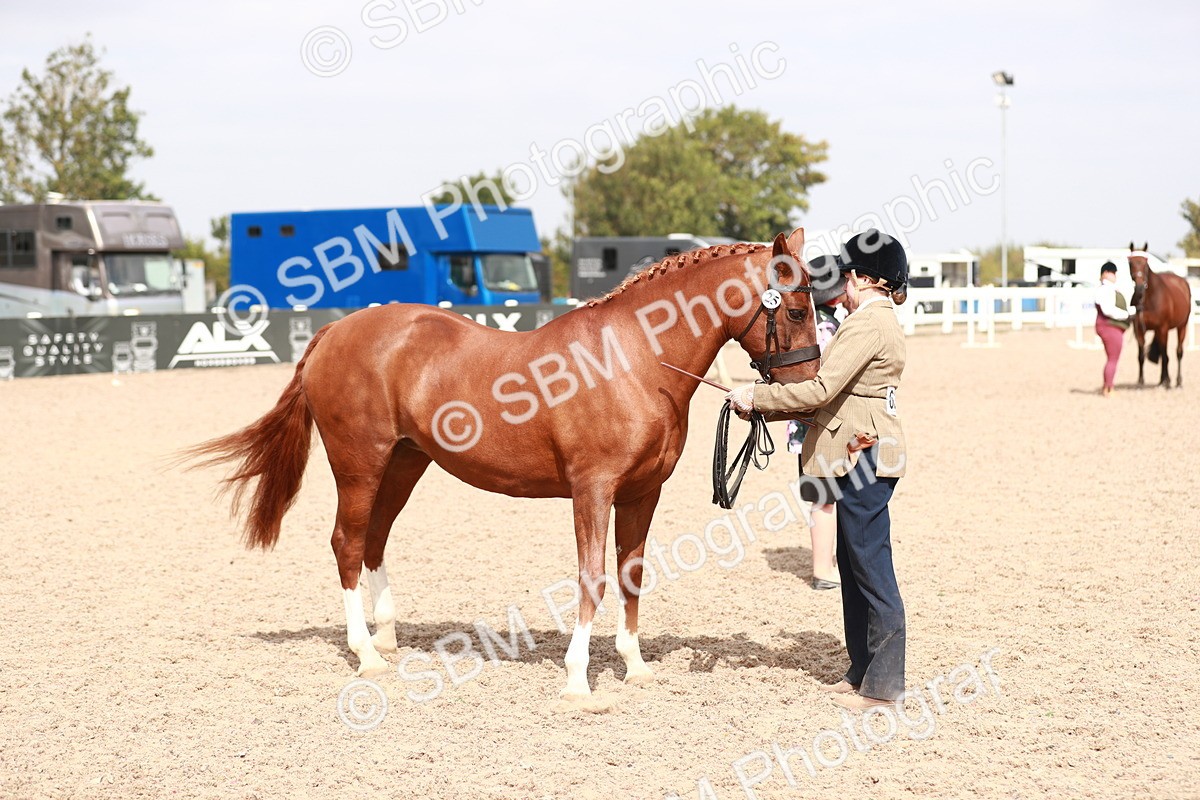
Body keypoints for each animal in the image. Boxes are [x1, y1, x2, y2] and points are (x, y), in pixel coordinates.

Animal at [187, 228, 821, 698]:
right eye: (793, 309)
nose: (812, 390)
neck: (634, 359)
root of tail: (334, 330)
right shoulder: (593, 490)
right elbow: (591, 577)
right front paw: (577, 682)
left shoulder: (643, 493)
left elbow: (631, 575)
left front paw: (635, 666)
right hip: (358, 465)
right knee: (347, 542)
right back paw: (366, 655)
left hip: (404, 464)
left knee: (374, 539)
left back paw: (386, 637)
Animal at [1128, 242, 1192, 388]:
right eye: (1130, 263)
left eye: (1145, 263)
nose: (1139, 288)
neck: (1150, 298)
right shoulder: (1139, 330)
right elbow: (1141, 356)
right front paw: (1141, 381)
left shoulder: (1163, 328)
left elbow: (1165, 354)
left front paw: (1167, 381)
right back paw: (1161, 380)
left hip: (1182, 326)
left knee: (1178, 352)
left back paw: (1177, 381)